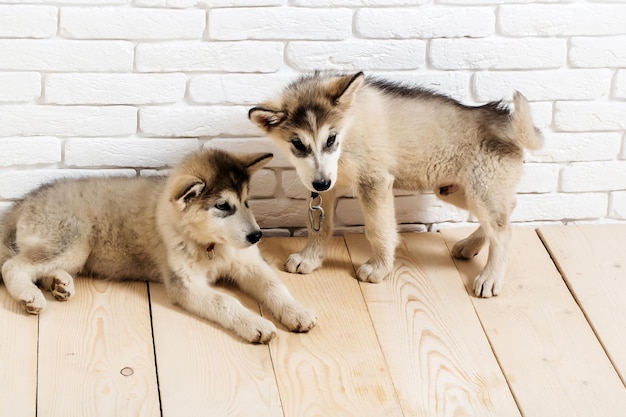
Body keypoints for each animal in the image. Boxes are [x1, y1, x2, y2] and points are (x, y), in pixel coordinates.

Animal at [1, 149, 316, 342]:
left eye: (247, 202)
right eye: (222, 206)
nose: (257, 236)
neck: (211, 246)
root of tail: (23, 202)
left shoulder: (248, 263)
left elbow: (274, 286)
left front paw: (297, 312)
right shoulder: (185, 284)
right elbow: (225, 301)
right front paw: (256, 324)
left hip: (74, 252)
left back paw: (60, 283)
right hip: (75, 241)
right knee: (13, 265)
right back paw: (30, 295)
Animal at [249, 73, 540, 298]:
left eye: (331, 139)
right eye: (298, 144)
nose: (321, 181)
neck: (350, 127)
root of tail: (505, 122)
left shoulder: (374, 182)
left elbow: (378, 230)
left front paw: (378, 268)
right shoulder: (323, 190)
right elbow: (318, 228)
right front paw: (310, 258)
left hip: (480, 191)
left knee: (503, 231)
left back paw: (490, 277)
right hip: (455, 190)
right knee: (507, 210)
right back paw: (470, 246)